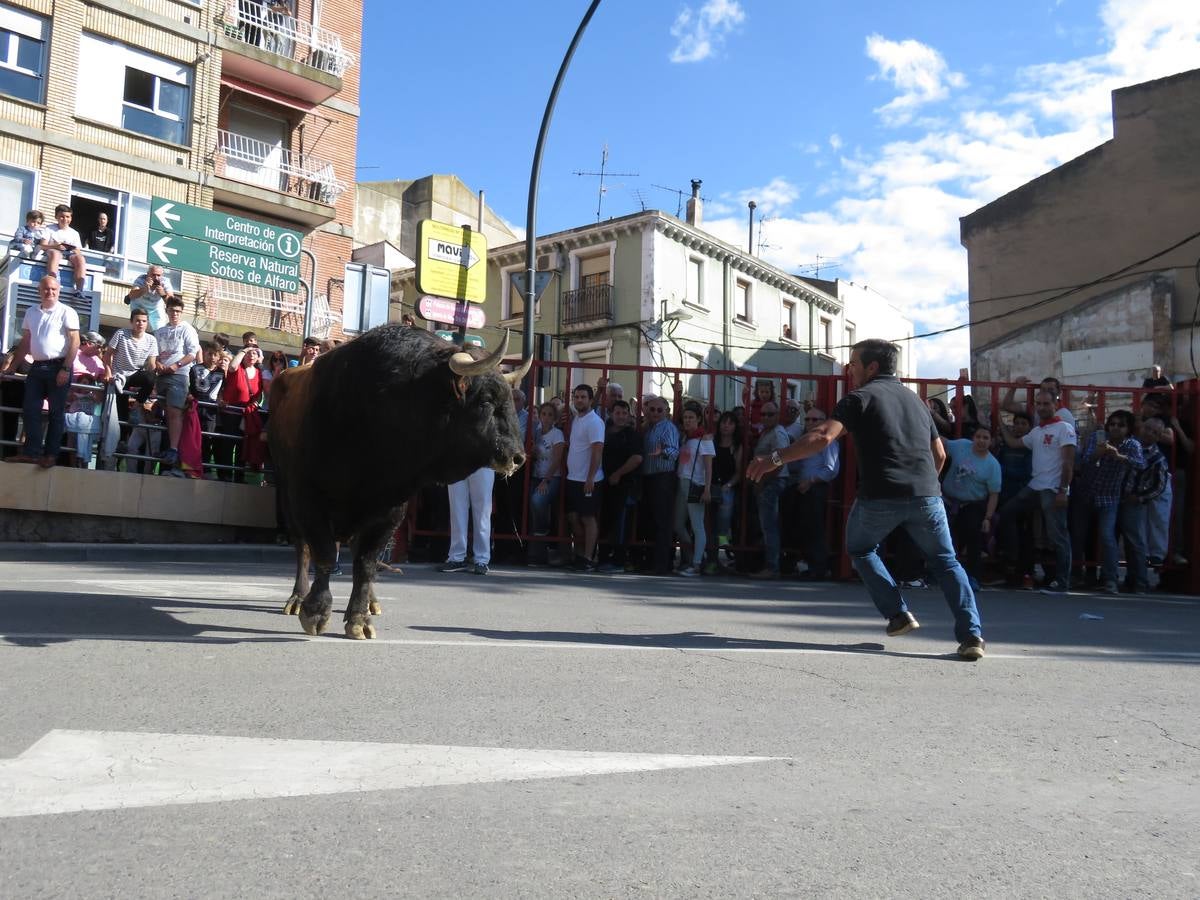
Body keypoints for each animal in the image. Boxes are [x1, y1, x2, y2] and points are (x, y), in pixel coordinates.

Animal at [274, 328, 532, 638]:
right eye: (486, 401)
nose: (518, 457)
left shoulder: (390, 509)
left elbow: (366, 563)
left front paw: (359, 618)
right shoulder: (308, 498)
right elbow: (323, 553)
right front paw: (315, 611)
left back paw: (370, 602)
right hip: (286, 492)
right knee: (302, 548)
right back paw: (297, 598)